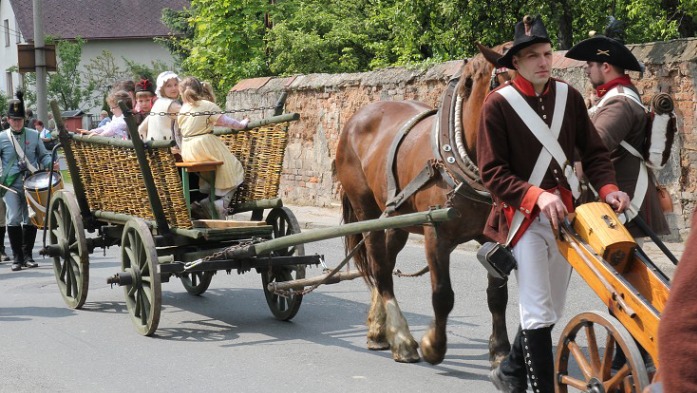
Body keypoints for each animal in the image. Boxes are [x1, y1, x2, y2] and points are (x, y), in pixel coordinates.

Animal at [334, 43, 512, 364]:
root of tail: (356, 119)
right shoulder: (435, 235)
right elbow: (442, 295)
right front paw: (433, 345)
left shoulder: (495, 236)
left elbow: (497, 294)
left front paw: (501, 349)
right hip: (367, 211)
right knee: (380, 269)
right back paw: (401, 338)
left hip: (397, 217)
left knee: (387, 262)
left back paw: (379, 330)